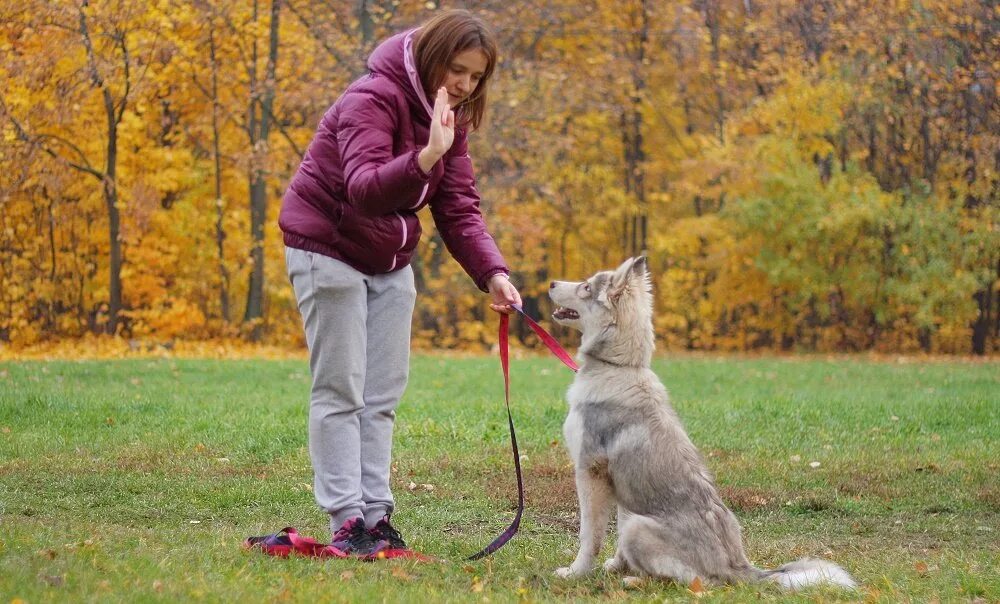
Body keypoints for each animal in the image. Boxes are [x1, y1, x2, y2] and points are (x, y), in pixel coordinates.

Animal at [544, 256, 856, 588]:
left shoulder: (590, 472)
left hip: (640, 529)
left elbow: (589, 536)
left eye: (586, 287)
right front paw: (617, 566)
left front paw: (576, 572)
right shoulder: (622, 486)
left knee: (699, 582)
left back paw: (637, 582)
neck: (619, 367)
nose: (551, 283)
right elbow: (613, 534)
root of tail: (738, 567)